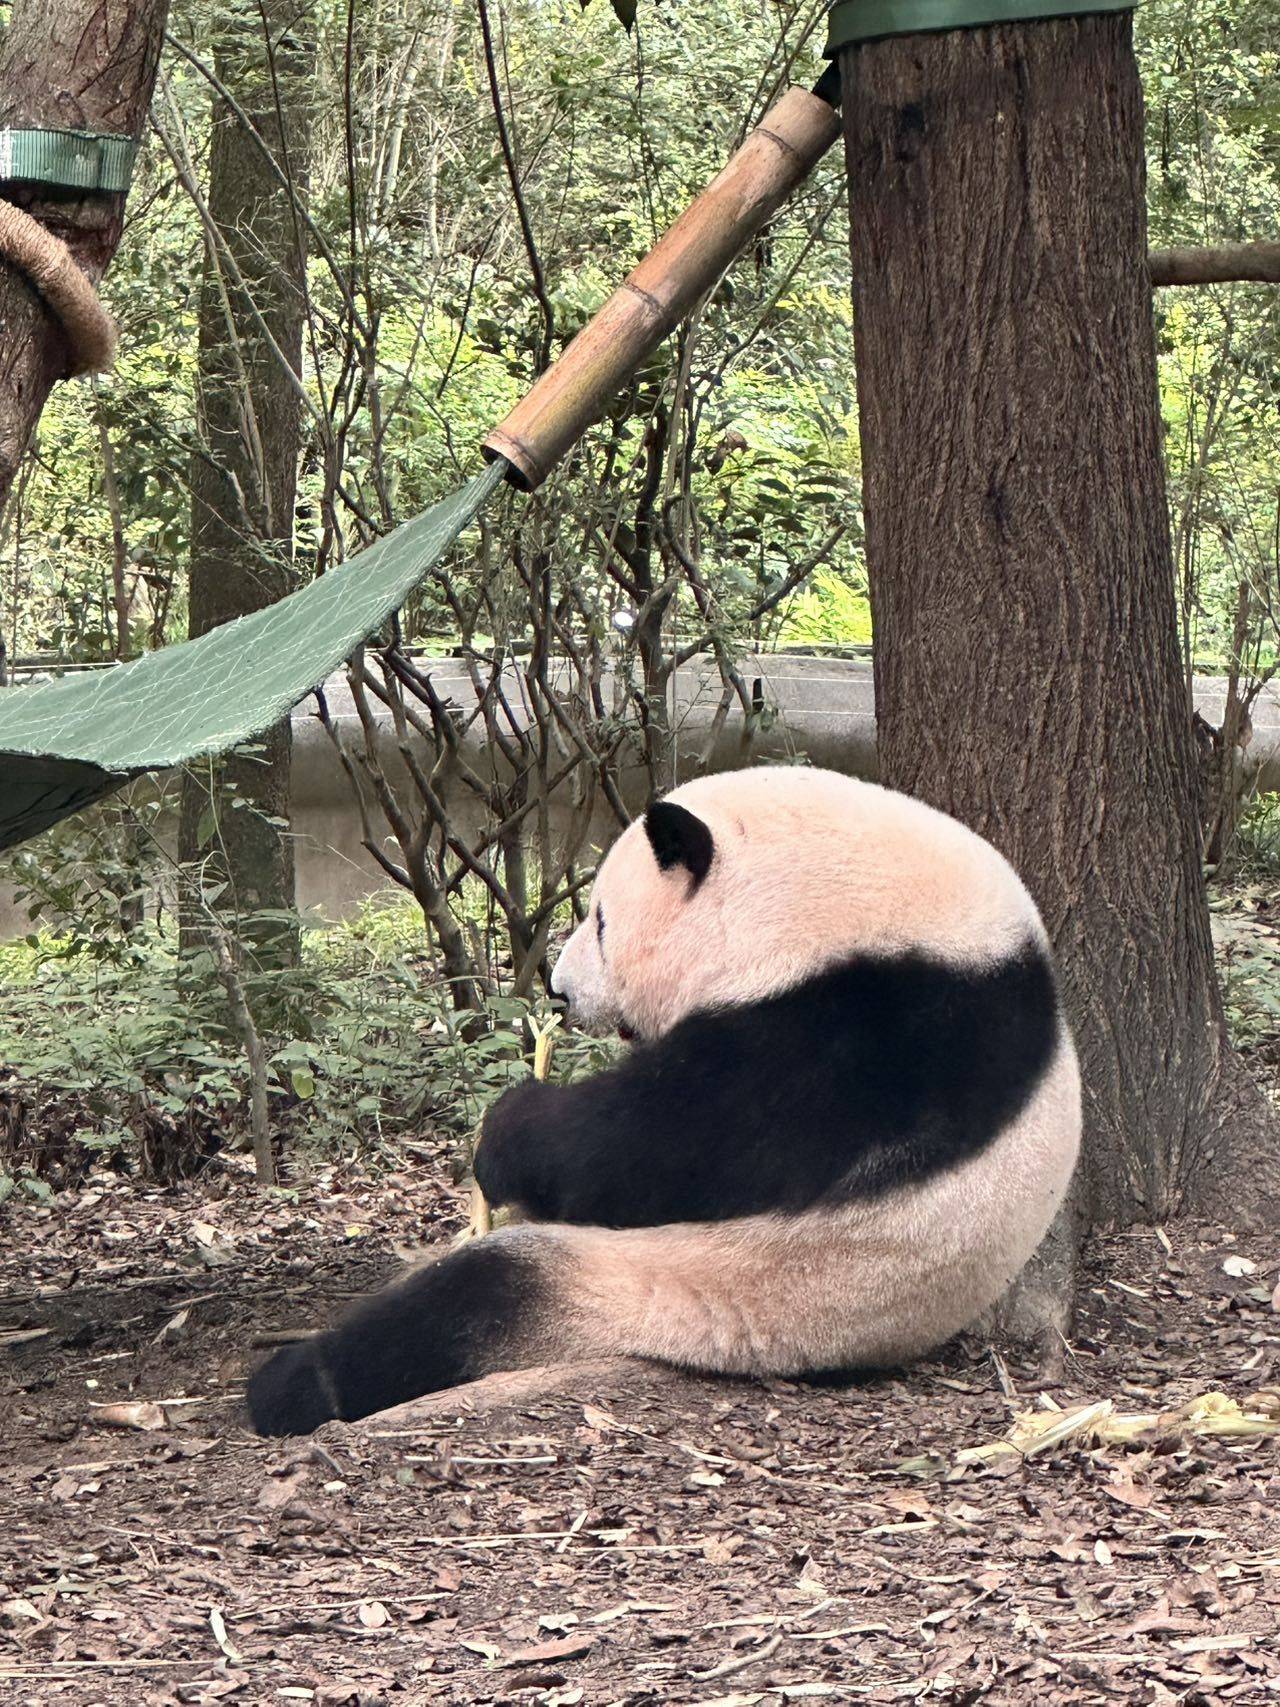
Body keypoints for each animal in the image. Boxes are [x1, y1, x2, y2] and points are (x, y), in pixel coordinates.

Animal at [247, 767, 1081, 1436]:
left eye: (602, 921)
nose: (559, 991)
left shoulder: (877, 1025)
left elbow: (675, 1140)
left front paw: (507, 1130)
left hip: (693, 1283)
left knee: (471, 1305)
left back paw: (288, 1385)